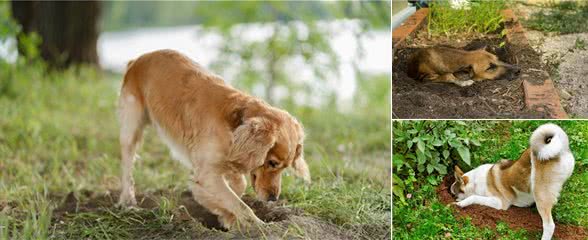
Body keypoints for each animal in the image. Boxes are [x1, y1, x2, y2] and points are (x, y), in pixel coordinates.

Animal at [114, 48, 308, 229]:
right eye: (272, 163)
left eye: (285, 167)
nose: (273, 199)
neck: (235, 123)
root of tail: (138, 59)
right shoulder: (207, 173)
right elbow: (241, 205)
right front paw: (258, 225)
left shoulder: (227, 161)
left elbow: (238, 187)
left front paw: (225, 216)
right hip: (131, 129)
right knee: (126, 168)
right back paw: (127, 202)